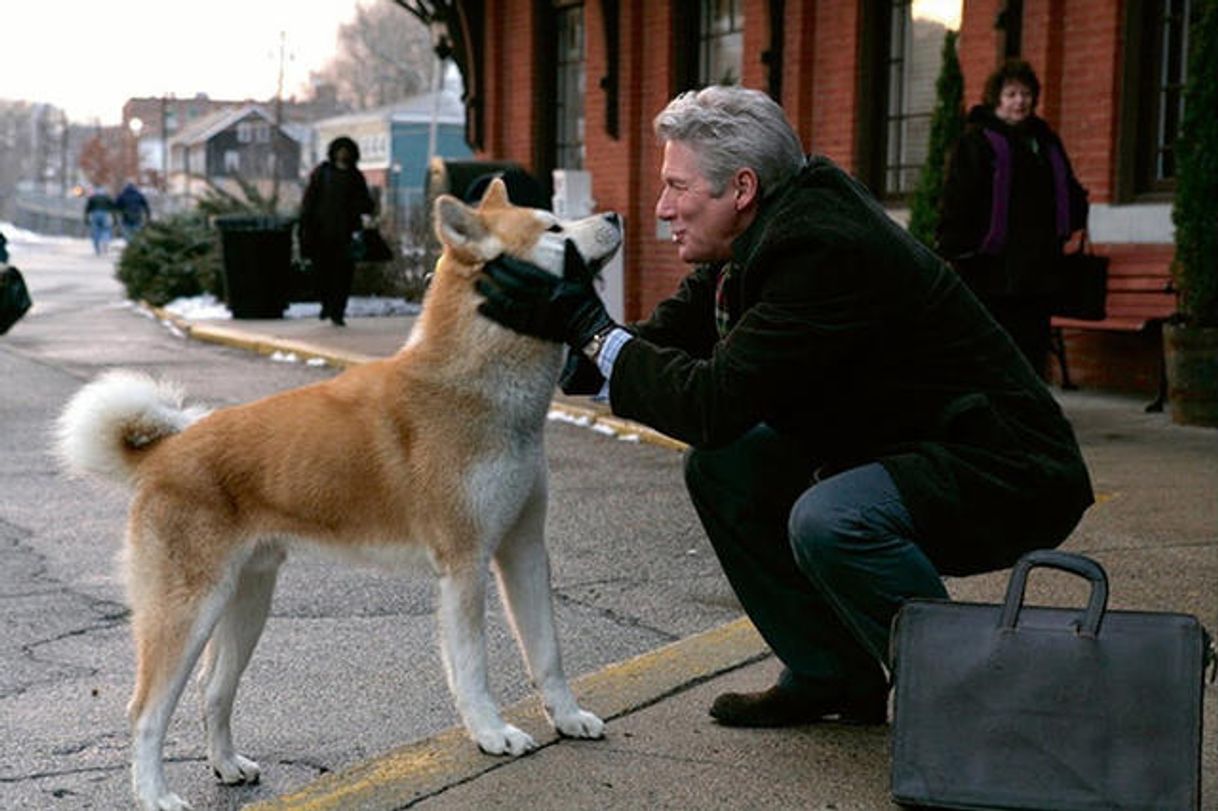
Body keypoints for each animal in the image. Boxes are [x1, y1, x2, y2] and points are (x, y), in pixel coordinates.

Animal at [56, 179, 618, 808]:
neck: (477, 388)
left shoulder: (522, 550)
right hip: (187, 612)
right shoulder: (465, 565)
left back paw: (227, 765)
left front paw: (567, 717)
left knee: (212, 691)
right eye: (553, 228)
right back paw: (155, 794)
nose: (616, 216)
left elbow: (548, 654)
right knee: (146, 713)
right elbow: (473, 668)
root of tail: (162, 454)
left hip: (246, 603)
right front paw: (492, 733)